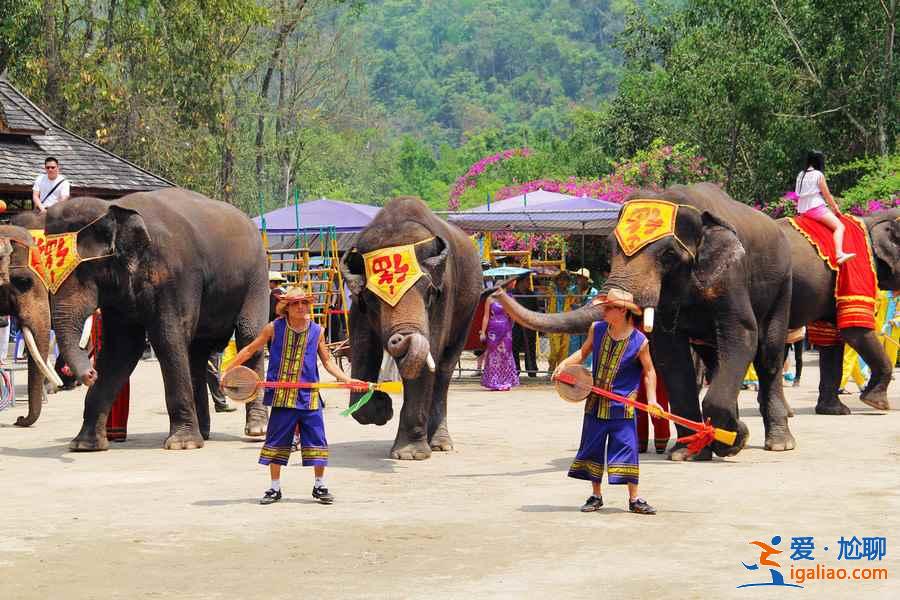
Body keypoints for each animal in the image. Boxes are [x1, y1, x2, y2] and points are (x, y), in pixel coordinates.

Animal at [43, 188, 268, 450]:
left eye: (84, 270)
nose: (90, 373)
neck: (114, 206)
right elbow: (122, 348)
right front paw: (84, 445)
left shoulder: (175, 276)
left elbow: (167, 337)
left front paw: (181, 445)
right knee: (196, 352)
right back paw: (203, 433)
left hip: (257, 276)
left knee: (248, 333)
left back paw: (256, 430)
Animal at [342, 197, 486, 460]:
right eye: (372, 299)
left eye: (430, 292)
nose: (400, 338)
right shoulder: (357, 306)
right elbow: (362, 345)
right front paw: (381, 409)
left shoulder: (445, 294)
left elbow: (432, 350)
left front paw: (410, 455)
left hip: (469, 310)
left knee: (444, 370)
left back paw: (440, 444)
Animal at [492, 183, 796, 460]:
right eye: (610, 248)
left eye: (669, 255)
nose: (496, 288)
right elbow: (669, 353)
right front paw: (689, 452)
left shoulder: (731, 273)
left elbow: (741, 334)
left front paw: (732, 440)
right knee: (715, 356)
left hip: (783, 285)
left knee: (768, 354)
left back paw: (779, 443)